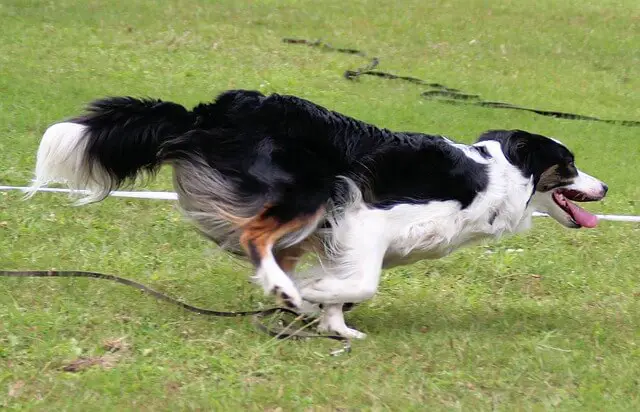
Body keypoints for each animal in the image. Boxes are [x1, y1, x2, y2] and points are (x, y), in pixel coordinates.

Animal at [27, 89, 608, 338]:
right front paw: (315, 298)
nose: (604, 187)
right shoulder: (364, 218)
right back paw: (284, 291)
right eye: (570, 165)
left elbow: (347, 290)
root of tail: (213, 111)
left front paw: (334, 324)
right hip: (310, 194)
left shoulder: (344, 234)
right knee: (255, 238)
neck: (501, 174)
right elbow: (361, 284)